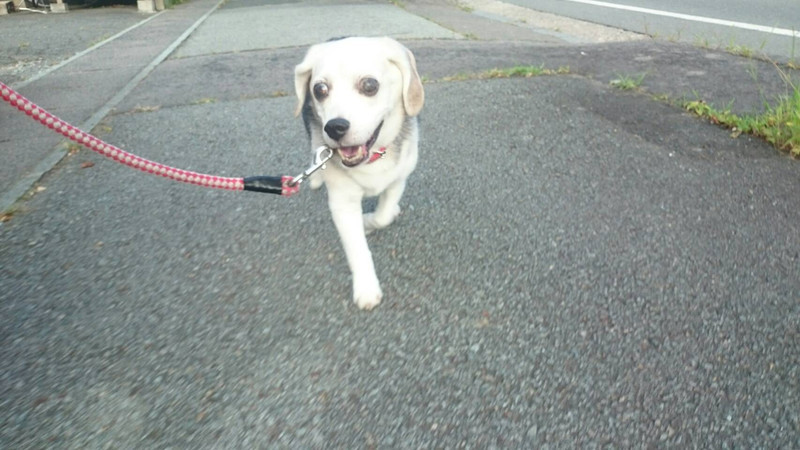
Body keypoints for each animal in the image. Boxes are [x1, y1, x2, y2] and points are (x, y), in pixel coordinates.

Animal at [294, 37, 424, 310]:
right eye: (320, 89)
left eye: (369, 85)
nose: (334, 127)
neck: (371, 158)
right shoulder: (342, 203)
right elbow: (356, 249)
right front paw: (366, 287)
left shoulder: (398, 179)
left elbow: (383, 216)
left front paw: (371, 220)